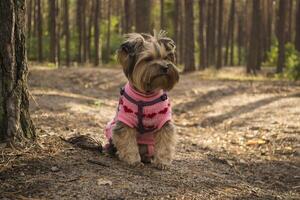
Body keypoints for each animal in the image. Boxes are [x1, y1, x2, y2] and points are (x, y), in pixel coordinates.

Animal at [103, 30, 178, 169]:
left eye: (165, 58)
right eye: (148, 59)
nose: (166, 67)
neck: (146, 95)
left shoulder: (164, 122)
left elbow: (165, 142)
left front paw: (163, 162)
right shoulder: (125, 122)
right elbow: (127, 142)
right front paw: (133, 161)